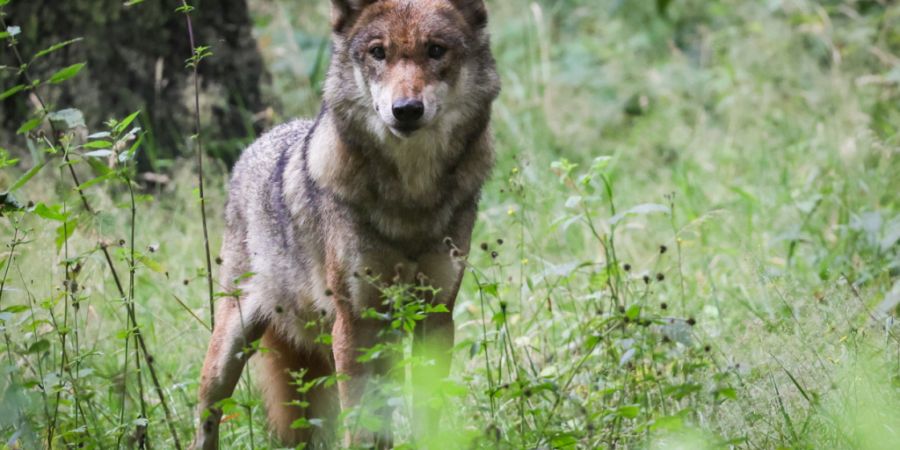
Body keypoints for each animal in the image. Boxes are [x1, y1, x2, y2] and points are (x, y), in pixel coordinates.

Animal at [190, 0, 500, 448]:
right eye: (378, 53)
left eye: (436, 50)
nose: (406, 110)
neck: (411, 200)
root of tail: (257, 143)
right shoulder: (354, 324)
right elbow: (360, 424)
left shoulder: (436, 317)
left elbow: (427, 413)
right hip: (232, 345)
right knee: (207, 414)